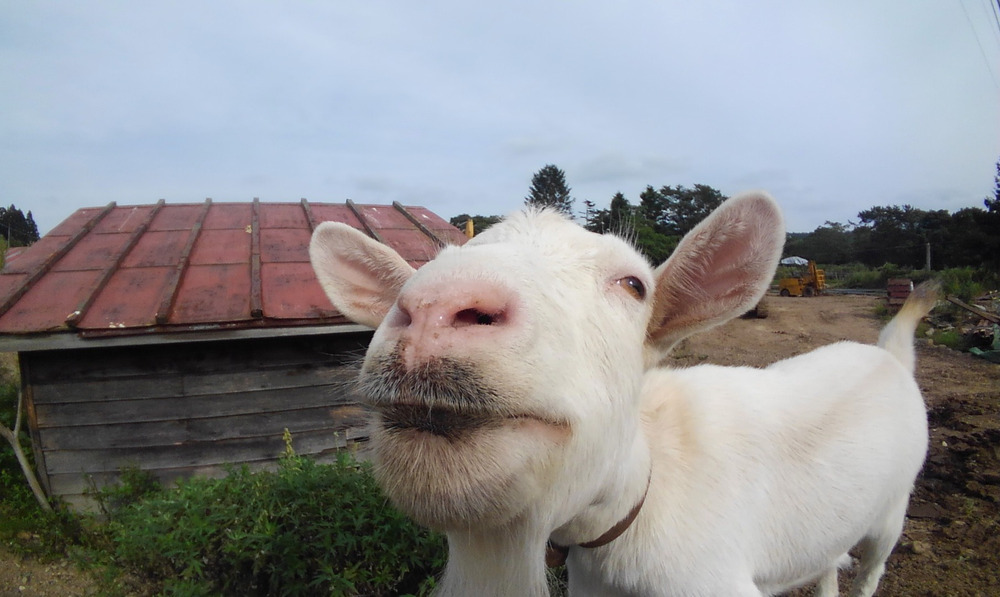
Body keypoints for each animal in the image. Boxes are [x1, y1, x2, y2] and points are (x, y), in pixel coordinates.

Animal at [309, 192, 935, 597]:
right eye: (425, 270)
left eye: (634, 285)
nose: (435, 306)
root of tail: (890, 355)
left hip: (892, 513)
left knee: (871, 568)